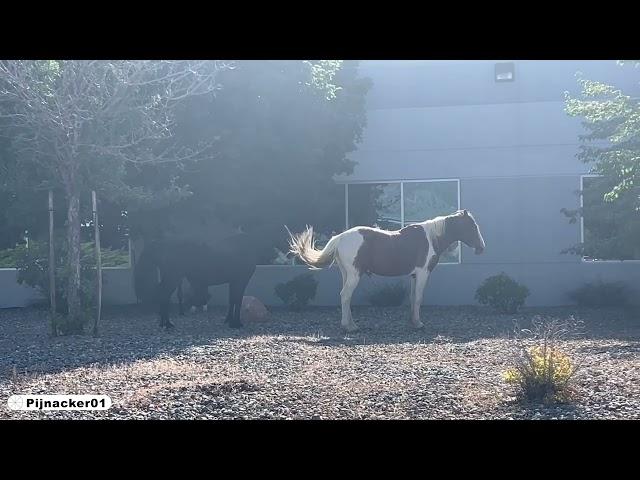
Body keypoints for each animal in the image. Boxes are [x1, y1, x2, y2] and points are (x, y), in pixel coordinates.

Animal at [290, 212, 484, 332]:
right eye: (473, 226)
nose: (482, 248)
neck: (430, 238)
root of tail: (340, 237)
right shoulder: (423, 273)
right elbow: (419, 298)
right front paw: (419, 324)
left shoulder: (414, 275)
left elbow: (413, 298)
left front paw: (413, 322)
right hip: (354, 275)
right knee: (345, 295)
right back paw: (349, 327)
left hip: (347, 274)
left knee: (346, 297)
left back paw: (351, 324)